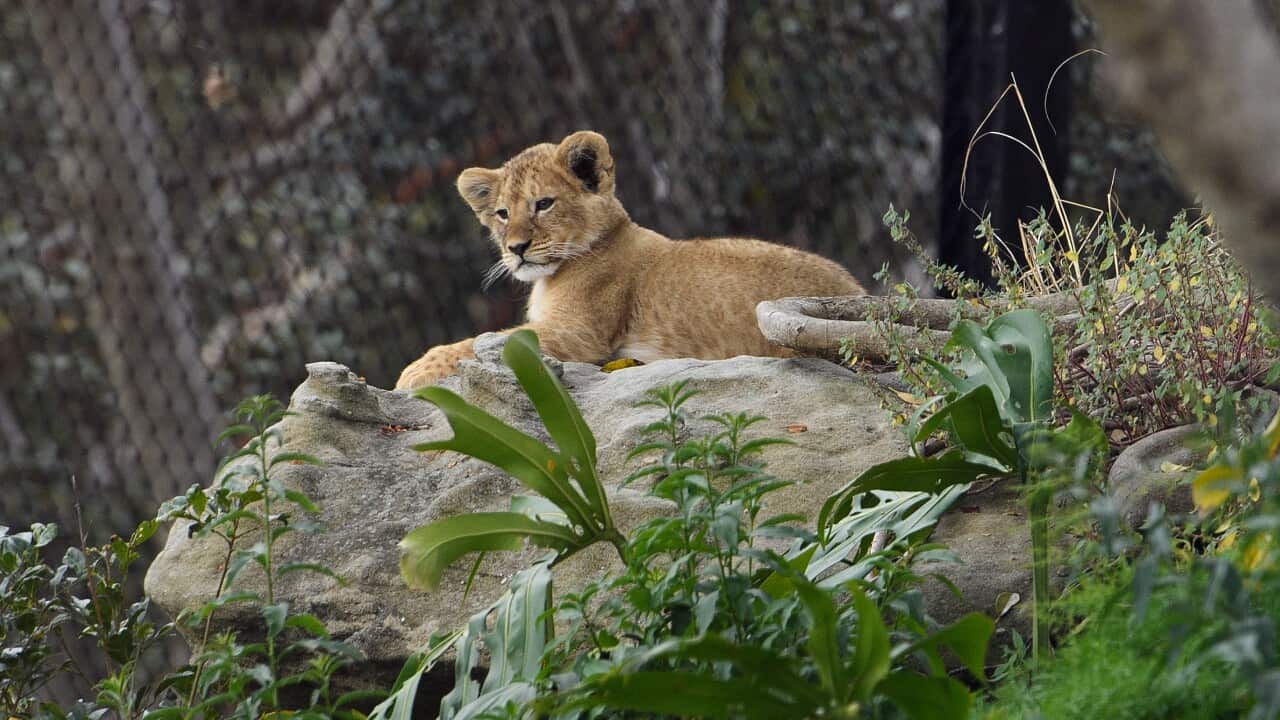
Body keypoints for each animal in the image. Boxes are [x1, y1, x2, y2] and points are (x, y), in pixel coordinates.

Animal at [395, 131, 864, 390]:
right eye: (502, 213)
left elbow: (478, 342)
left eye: (544, 204)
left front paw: (413, 371)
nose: (516, 249)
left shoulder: (579, 336)